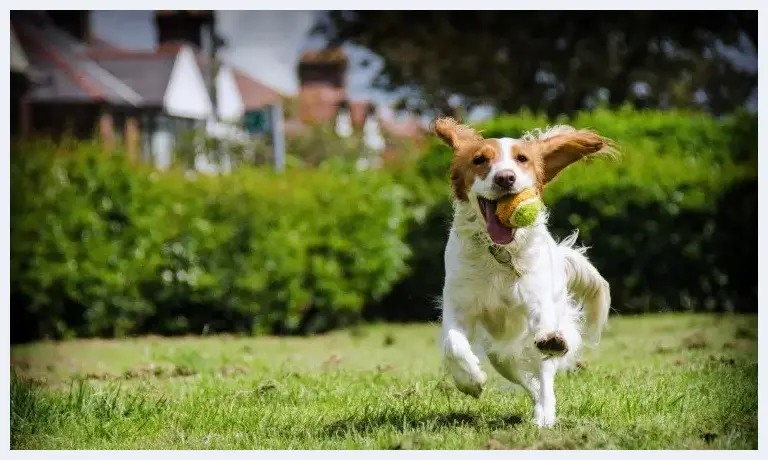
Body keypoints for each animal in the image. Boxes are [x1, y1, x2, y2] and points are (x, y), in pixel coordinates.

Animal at [436, 117, 616, 428]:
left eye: (522, 159)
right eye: (479, 159)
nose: (505, 178)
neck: (498, 251)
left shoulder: (537, 300)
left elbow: (544, 334)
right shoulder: (457, 307)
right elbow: (453, 345)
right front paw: (471, 380)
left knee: (544, 374)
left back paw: (545, 414)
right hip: (500, 354)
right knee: (524, 377)